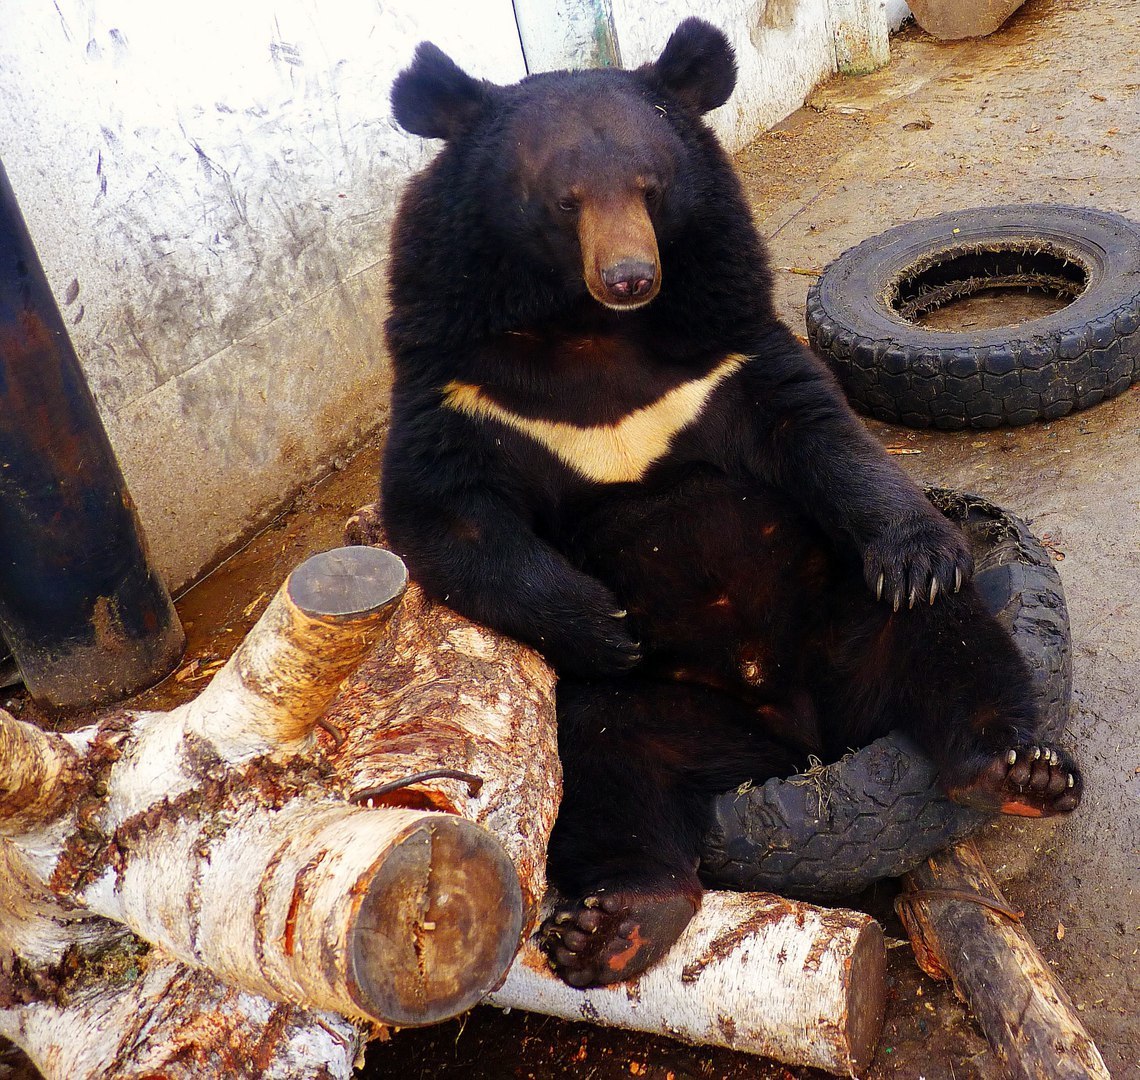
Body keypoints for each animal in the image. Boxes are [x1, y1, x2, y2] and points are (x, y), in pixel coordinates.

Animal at [380, 21, 1076, 994]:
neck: (586, 332)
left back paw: (1019, 770)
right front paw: (599, 621)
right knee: (609, 772)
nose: (630, 276)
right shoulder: (459, 382)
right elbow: (447, 514)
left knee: (948, 641)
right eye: (563, 201)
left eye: (650, 185)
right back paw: (617, 923)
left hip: (843, 615)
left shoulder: (724, 345)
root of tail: (797, 739)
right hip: (642, 710)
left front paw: (917, 551)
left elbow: (819, 430)